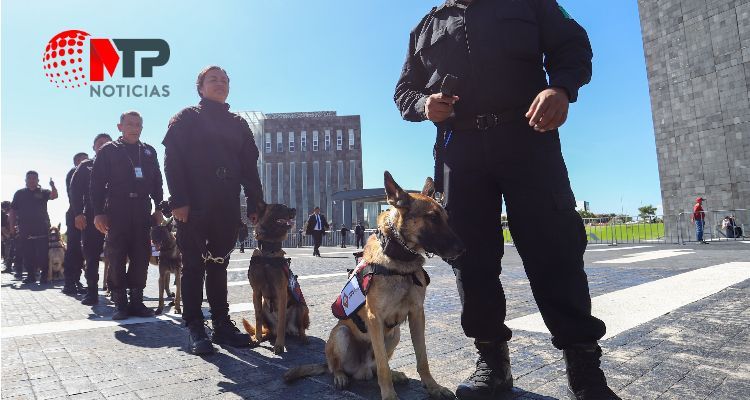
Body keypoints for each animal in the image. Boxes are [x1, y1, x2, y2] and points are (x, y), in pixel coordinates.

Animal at [242, 203, 310, 354]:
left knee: (300, 328)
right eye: (278, 207)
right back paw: (264, 336)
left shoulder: (281, 291)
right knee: (269, 329)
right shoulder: (256, 292)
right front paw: (257, 338)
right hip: (264, 307)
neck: (268, 251)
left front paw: (279, 345)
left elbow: (281, 323)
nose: (294, 209)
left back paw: (302, 338)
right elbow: (257, 318)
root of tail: (291, 330)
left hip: (302, 307)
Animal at [286, 172, 468, 400]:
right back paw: (340, 376)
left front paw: (433, 387)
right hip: (342, 334)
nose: (463, 249)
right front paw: (389, 395)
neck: (400, 259)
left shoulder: (417, 315)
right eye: (432, 218)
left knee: (374, 368)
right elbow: (383, 367)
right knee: (338, 366)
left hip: (395, 334)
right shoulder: (375, 319)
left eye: (446, 218)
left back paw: (395, 374)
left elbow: (422, 358)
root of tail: (360, 371)